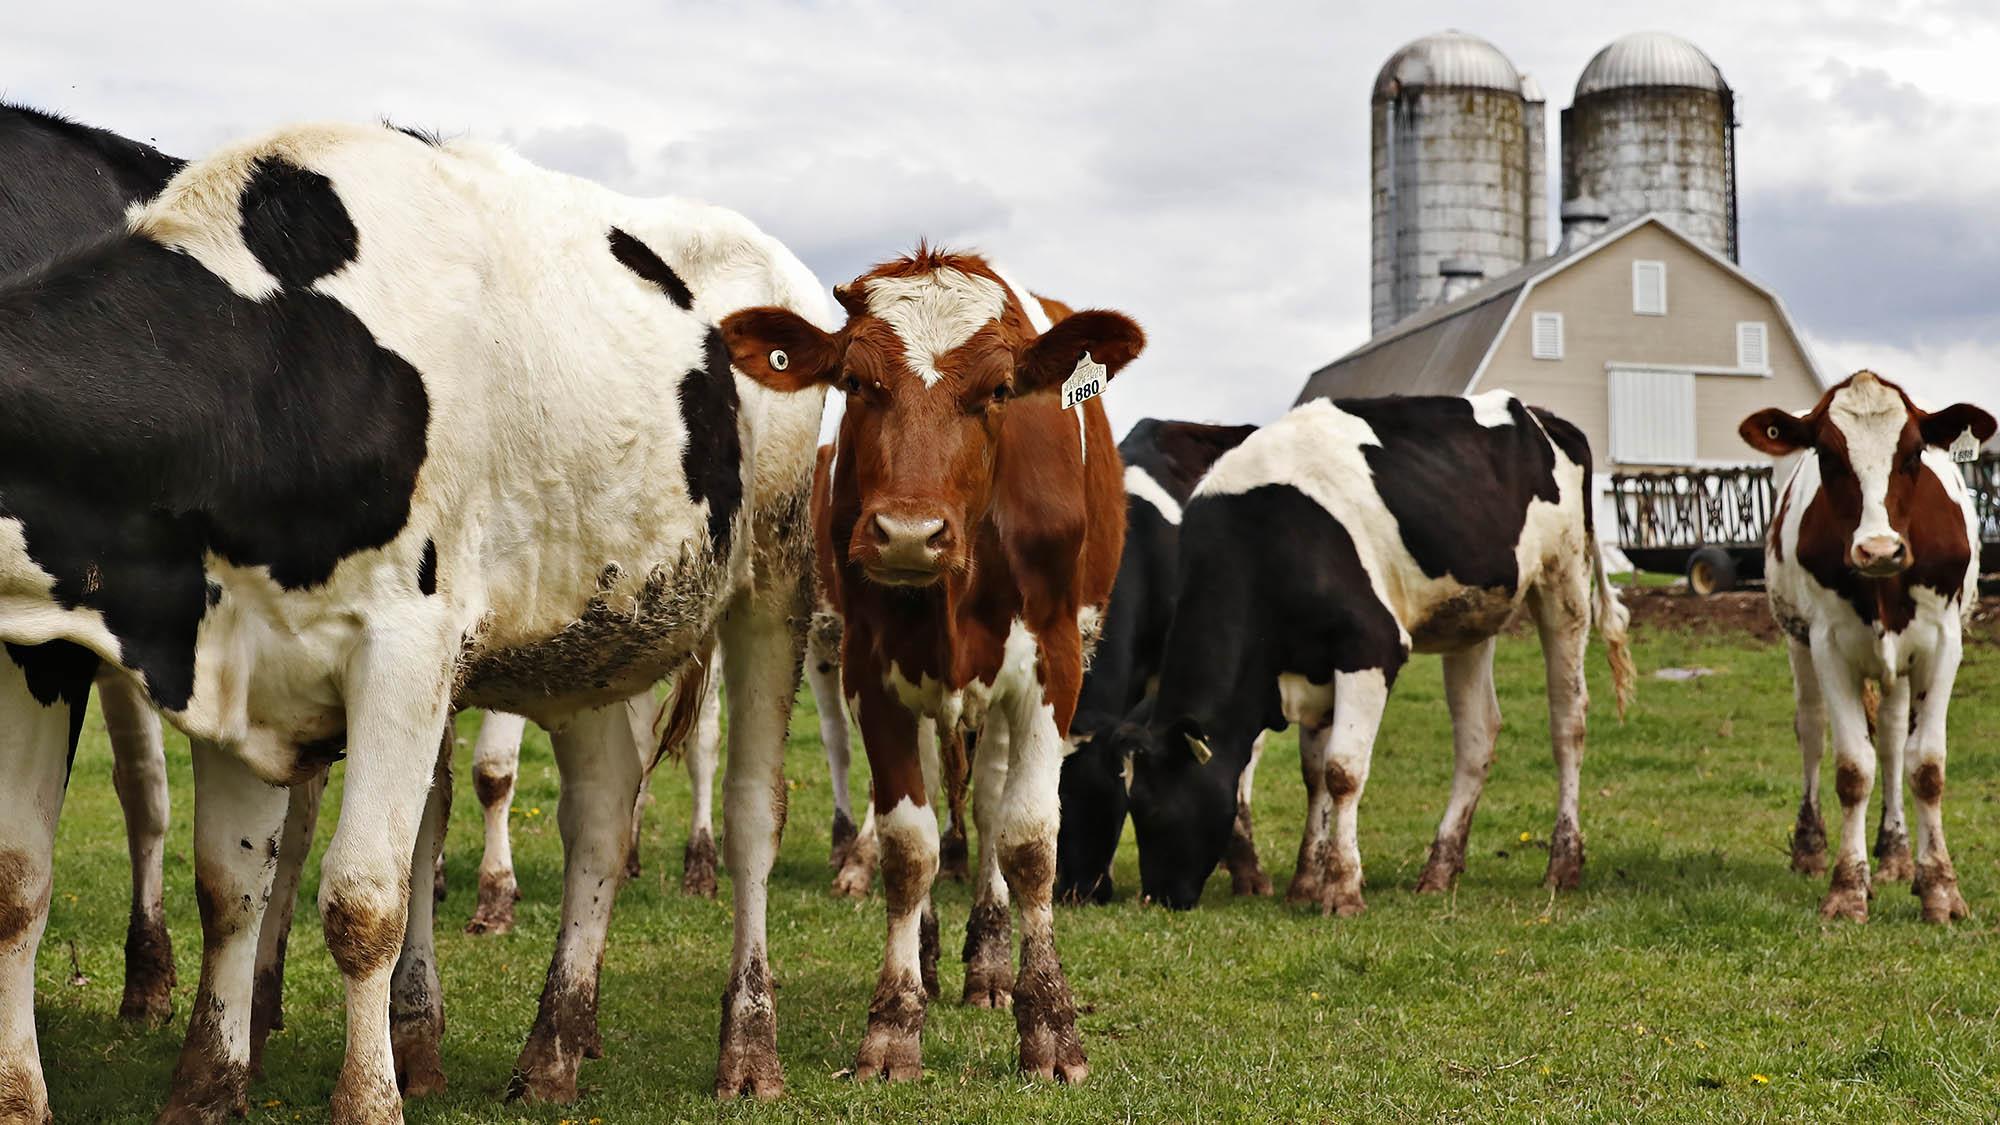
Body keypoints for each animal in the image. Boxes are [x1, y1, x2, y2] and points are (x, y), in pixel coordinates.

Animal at [0, 118, 828, 1112]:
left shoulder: (406, 647)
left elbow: (364, 900)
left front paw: (369, 1099)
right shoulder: (227, 649)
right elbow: (212, 884)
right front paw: (198, 1086)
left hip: (777, 576)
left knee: (752, 811)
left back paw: (749, 1047)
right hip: (591, 630)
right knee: (601, 814)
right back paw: (554, 1047)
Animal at [720, 247, 1144, 1080]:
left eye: (1000, 389)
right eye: (856, 383)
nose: (910, 533)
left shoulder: (1053, 664)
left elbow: (1028, 840)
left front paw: (1050, 1023)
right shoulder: (871, 669)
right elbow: (908, 846)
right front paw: (894, 1021)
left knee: (991, 805)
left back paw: (989, 961)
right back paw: (931, 951)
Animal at [1120, 394, 1632, 912]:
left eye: (1154, 808)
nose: (1158, 896)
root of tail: (1538, 413)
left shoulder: (1370, 648)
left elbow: (1341, 772)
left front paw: (1341, 890)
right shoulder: (1314, 664)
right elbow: (1314, 775)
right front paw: (1306, 882)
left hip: (1563, 581)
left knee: (1568, 723)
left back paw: (1562, 864)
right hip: (1471, 618)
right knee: (1477, 734)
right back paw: (1439, 868)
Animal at [1744, 370, 1992, 920]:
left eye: (1914, 452)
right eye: (1827, 454)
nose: (1879, 549)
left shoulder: (1943, 643)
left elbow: (1925, 766)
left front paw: (1939, 887)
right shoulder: (1828, 644)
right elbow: (1853, 768)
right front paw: (1846, 888)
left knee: (1896, 739)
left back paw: (1897, 854)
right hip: (1797, 641)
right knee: (1812, 729)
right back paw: (1810, 848)